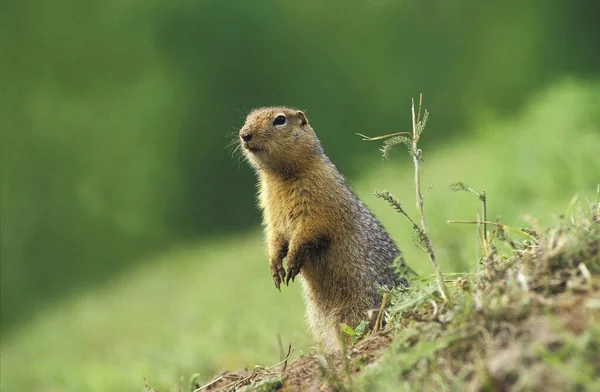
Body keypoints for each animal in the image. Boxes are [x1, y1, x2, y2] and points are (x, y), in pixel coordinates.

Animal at [239, 107, 408, 352]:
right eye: (247, 119)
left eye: (279, 120)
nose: (244, 134)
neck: (280, 176)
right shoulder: (269, 210)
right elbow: (274, 235)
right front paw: (275, 267)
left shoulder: (320, 194)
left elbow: (312, 226)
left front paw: (292, 260)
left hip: (356, 309)